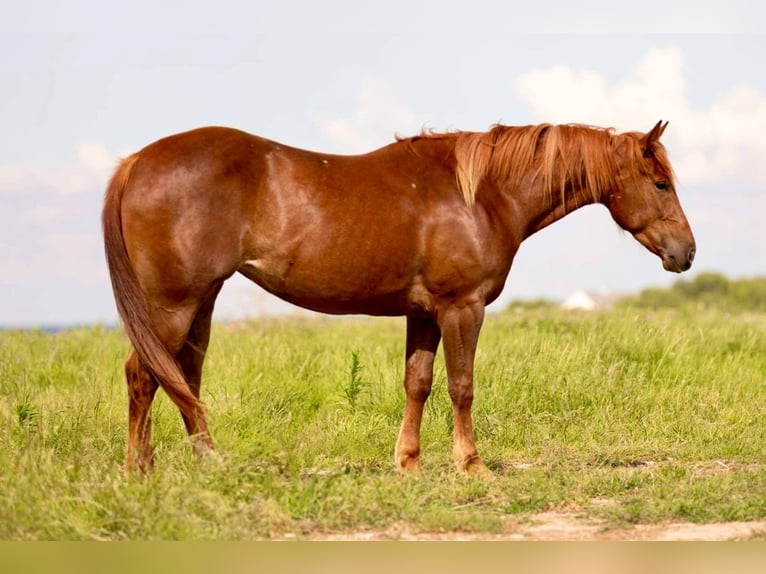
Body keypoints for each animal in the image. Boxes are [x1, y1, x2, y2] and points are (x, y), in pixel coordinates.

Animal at [102, 120, 695, 474]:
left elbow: (418, 383)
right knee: (142, 376)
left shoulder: (424, 313)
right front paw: (471, 464)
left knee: (183, 378)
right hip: (172, 305)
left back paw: (205, 464)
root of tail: (136, 162)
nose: (686, 253)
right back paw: (139, 472)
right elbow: (461, 386)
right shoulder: (461, 307)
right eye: (660, 183)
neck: (480, 195)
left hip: (200, 303)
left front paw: (408, 462)